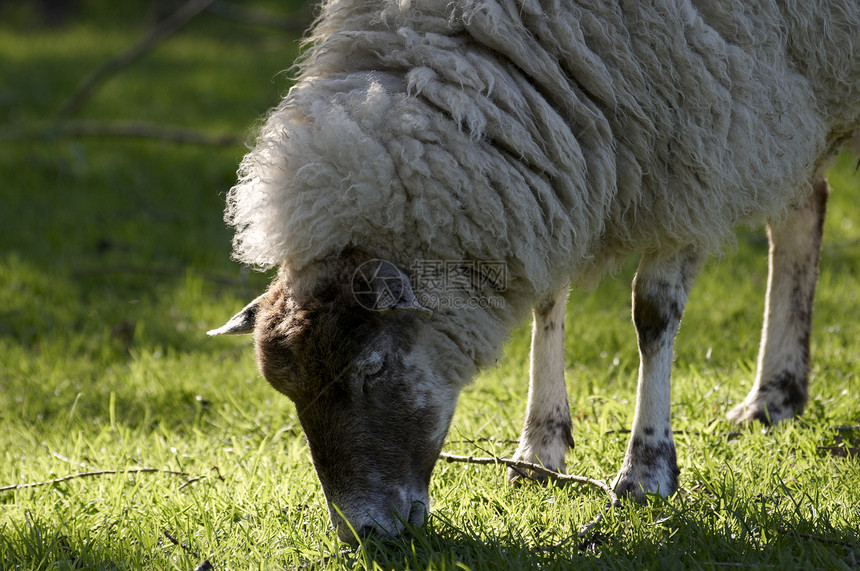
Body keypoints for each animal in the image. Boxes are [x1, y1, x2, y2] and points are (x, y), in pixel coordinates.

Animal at [210, 0, 860, 544]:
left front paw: (646, 472)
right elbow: (549, 300)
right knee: (805, 206)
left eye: (373, 369)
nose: (362, 535)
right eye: (286, 391)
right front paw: (539, 449)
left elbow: (652, 314)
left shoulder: (706, 139)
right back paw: (775, 395)